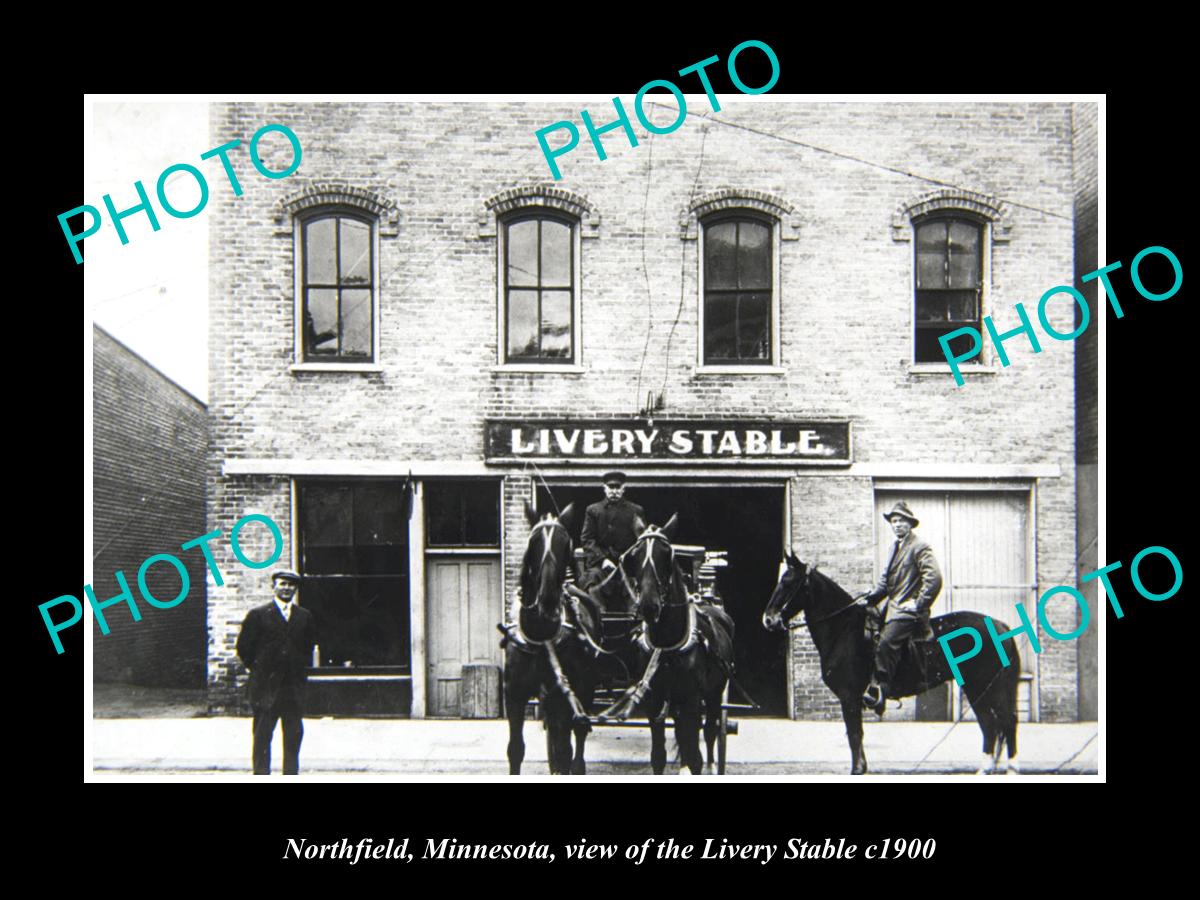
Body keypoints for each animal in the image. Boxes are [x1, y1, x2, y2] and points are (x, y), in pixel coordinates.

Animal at [501, 504, 604, 777]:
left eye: (566, 544)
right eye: (533, 542)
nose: (546, 600)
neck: (541, 634)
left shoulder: (563, 692)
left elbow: (567, 748)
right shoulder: (514, 694)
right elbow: (515, 750)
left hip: (584, 687)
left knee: (577, 735)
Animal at [614, 518, 734, 777]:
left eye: (666, 555)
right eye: (633, 556)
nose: (649, 606)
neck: (666, 645)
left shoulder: (692, 699)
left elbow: (696, 755)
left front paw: (697, 765)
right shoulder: (653, 700)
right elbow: (658, 756)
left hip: (713, 695)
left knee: (710, 731)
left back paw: (712, 766)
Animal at [763, 556, 1017, 777]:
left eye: (788, 582)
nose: (768, 619)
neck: (844, 631)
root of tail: (1000, 625)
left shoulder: (849, 697)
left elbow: (854, 734)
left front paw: (857, 770)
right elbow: (856, 735)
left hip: (984, 687)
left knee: (1003, 722)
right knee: (991, 725)